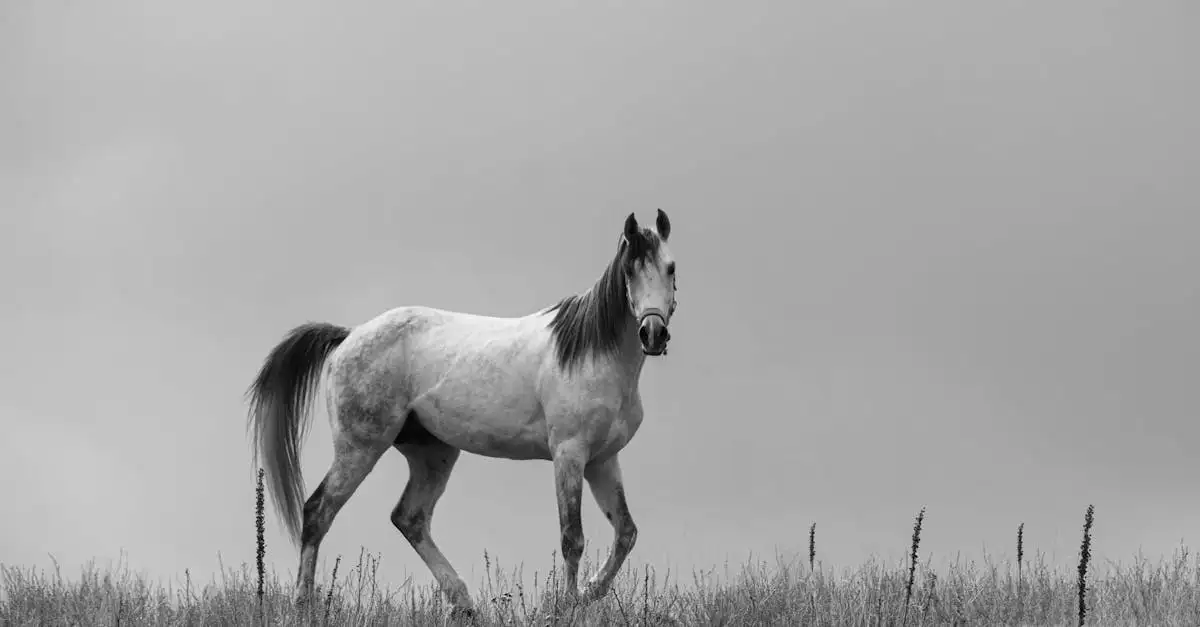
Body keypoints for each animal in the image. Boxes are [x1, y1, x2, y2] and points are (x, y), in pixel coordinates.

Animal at [246, 210, 678, 616]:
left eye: (670, 267)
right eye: (629, 270)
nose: (653, 334)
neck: (591, 354)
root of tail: (349, 336)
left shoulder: (602, 460)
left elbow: (625, 533)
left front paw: (587, 593)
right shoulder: (569, 455)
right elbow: (572, 537)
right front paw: (563, 606)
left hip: (433, 454)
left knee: (409, 518)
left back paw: (464, 603)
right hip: (360, 448)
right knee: (319, 511)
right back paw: (304, 603)